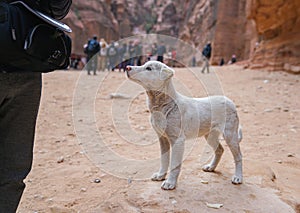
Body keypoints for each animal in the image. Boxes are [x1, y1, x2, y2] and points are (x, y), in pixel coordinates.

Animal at [125, 61, 243, 190]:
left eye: (149, 68)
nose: (127, 67)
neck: (165, 105)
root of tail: (230, 101)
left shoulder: (178, 140)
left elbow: (174, 164)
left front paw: (170, 183)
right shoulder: (162, 138)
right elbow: (164, 160)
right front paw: (160, 176)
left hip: (230, 135)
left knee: (238, 156)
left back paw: (238, 177)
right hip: (210, 136)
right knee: (220, 149)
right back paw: (211, 167)